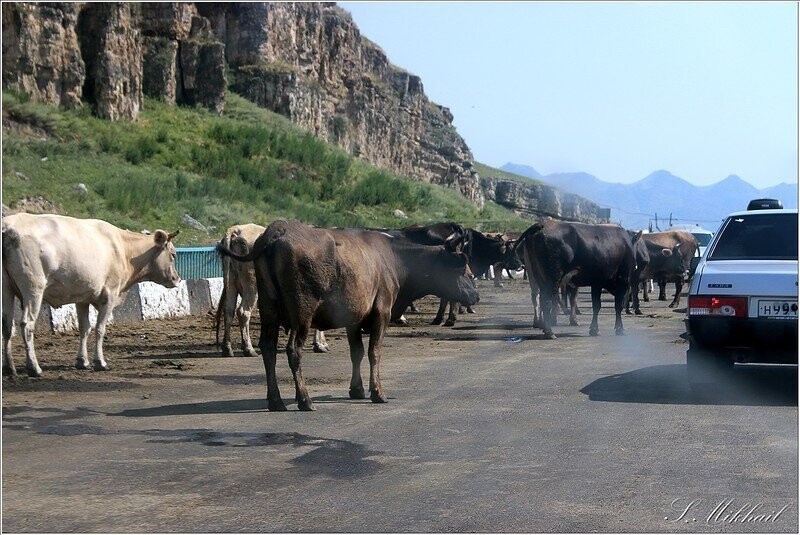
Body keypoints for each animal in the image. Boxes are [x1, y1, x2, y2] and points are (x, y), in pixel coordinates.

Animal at [2, 213, 180, 376]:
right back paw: (34, 367)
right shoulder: (109, 295)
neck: (124, 250)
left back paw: (10, 367)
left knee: (6, 325)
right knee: (27, 325)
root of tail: (8, 227)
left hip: (6, 289)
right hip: (34, 289)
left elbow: (84, 328)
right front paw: (100, 362)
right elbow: (100, 329)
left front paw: (82, 361)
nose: (177, 279)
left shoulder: (82, 298)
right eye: (173, 254)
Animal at [216, 224, 328, 358]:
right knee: (243, 312)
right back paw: (249, 349)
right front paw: (320, 345)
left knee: (228, 311)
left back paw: (227, 348)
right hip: (252, 284)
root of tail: (236, 230)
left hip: (231, 283)